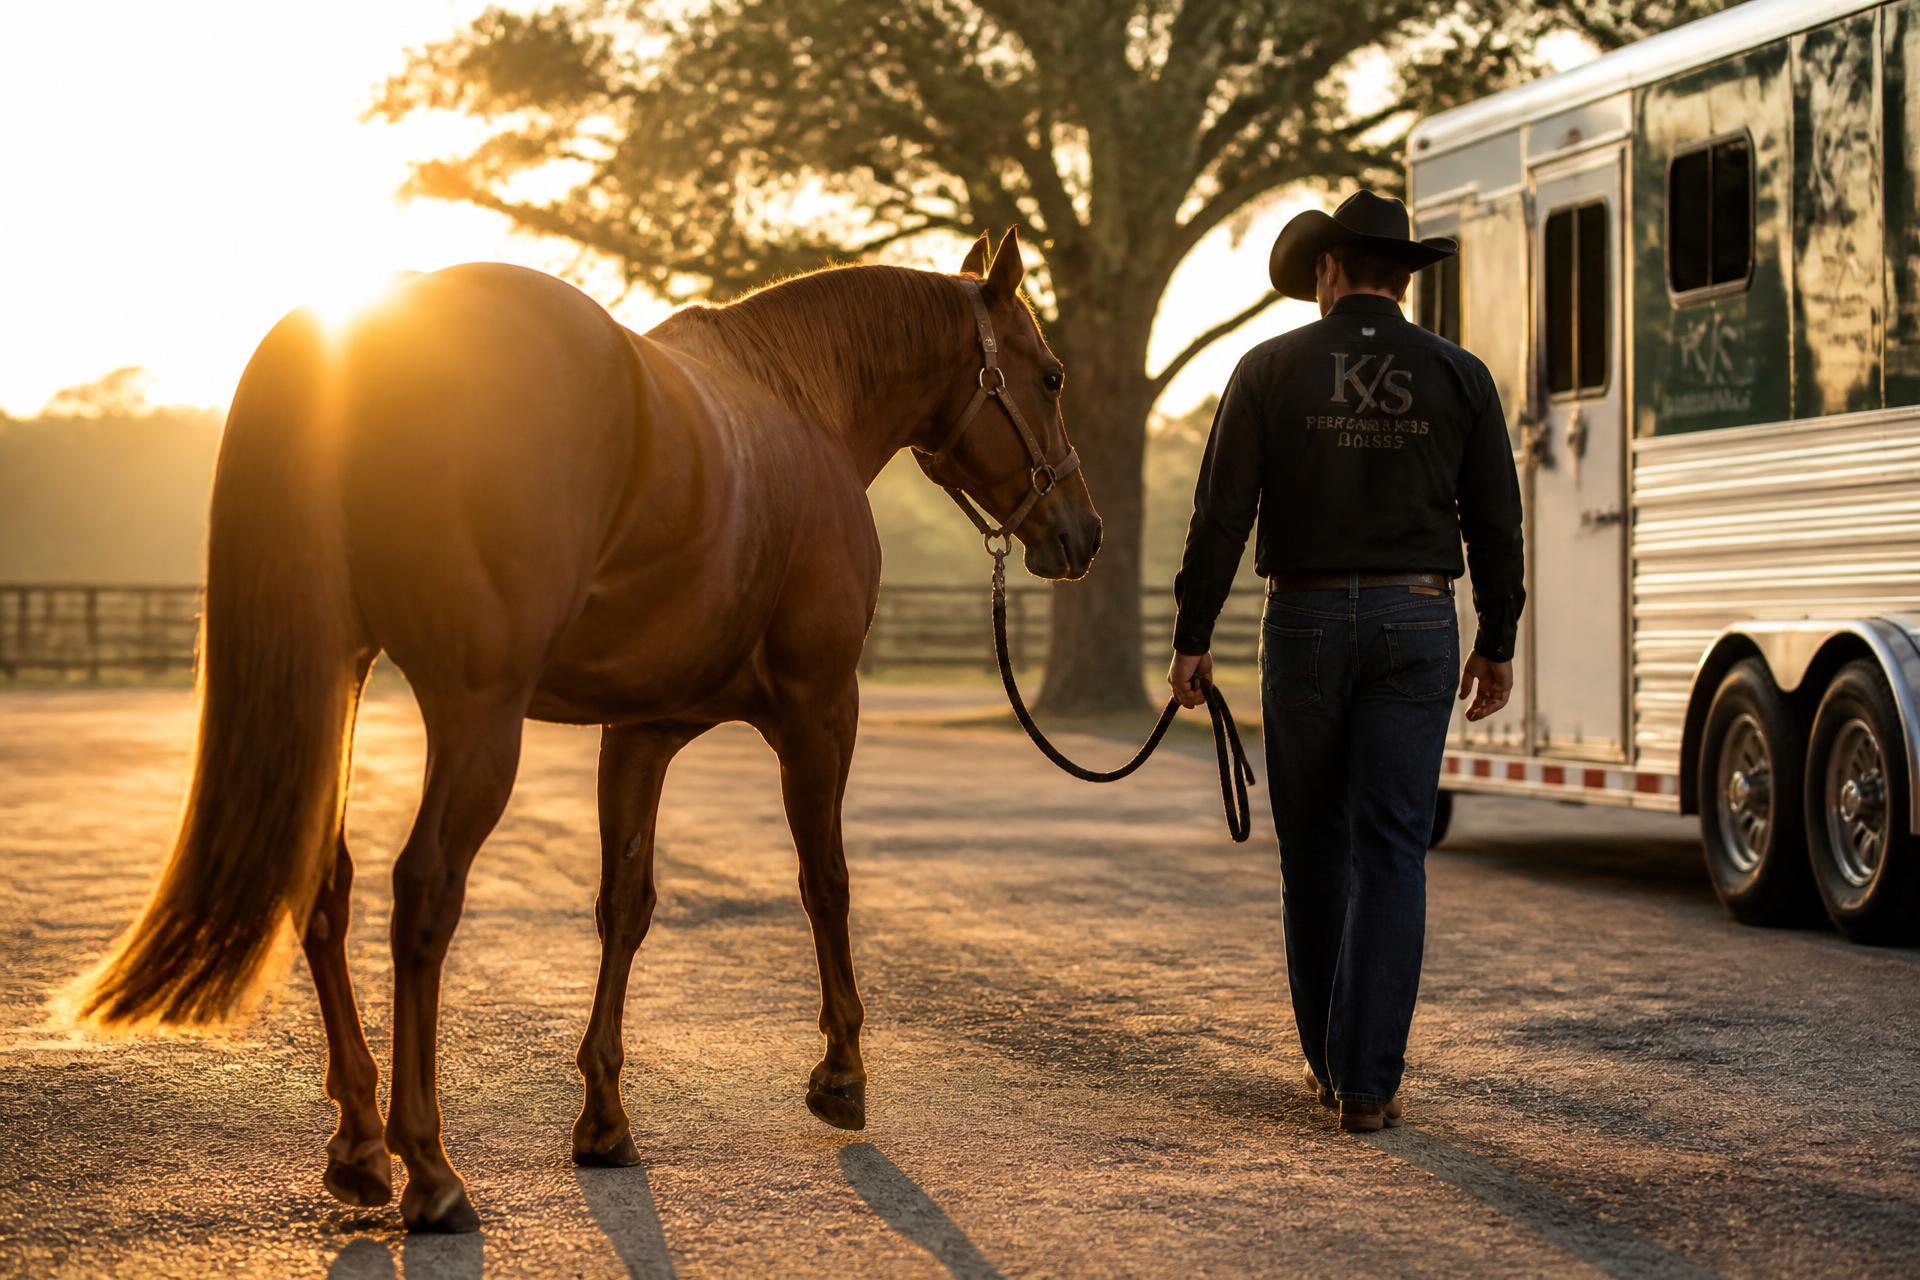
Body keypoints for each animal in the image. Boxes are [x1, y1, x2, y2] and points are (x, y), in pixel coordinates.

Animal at [75, 228, 1101, 1233]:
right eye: (1051, 376)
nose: (1082, 534)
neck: (802, 408)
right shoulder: (820, 709)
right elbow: (826, 883)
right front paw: (841, 1074)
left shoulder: (642, 731)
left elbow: (626, 903)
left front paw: (605, 1118)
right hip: (478, 716)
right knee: (423, 894)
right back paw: (430, 1167)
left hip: (343, 677)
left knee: (327, 885)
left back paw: (362, 1147)